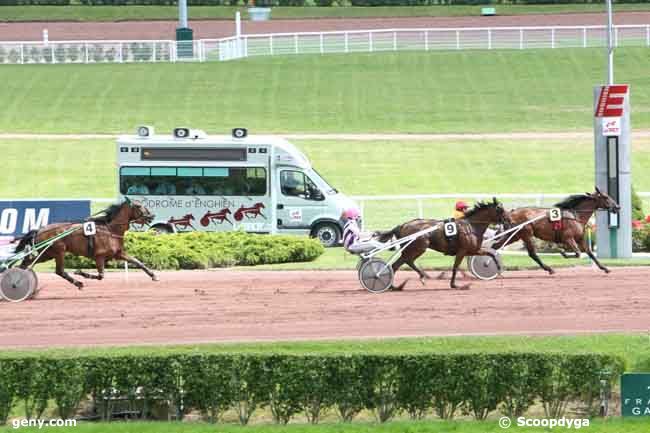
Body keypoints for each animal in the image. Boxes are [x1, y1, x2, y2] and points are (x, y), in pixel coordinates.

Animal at [14, 199, 157, 290]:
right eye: (138, 206)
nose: (152, 216)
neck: (110, 229)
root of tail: (40, 229)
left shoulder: (118, 253)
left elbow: (137, 262)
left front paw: (153, 275)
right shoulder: (99, 256)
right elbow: (101, 276)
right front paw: (81, 272)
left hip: (47, 254)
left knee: (26, 263)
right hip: (58, 251)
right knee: (59, 271)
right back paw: (78, 283)